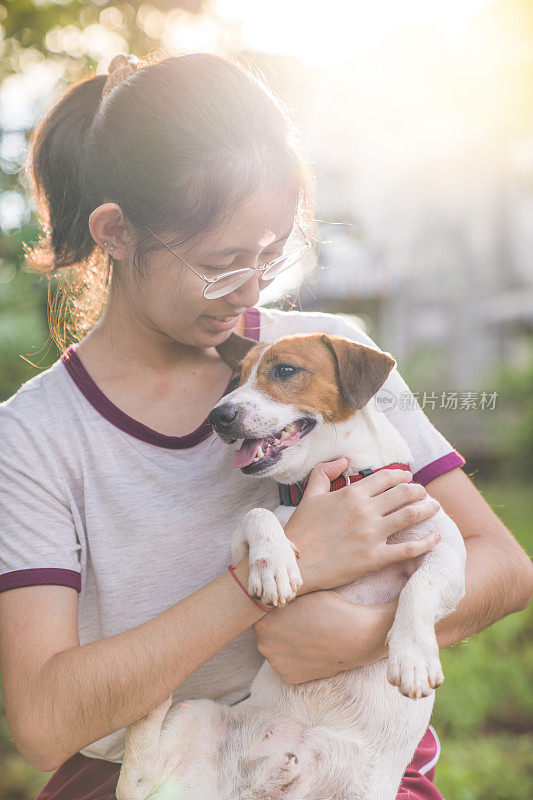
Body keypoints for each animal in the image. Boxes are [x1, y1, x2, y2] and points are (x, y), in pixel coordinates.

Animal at [114, 332, 464, 800]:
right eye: (236, 378)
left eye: (284, 370)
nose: (218, 416)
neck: (338, 482)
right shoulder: (246, 543)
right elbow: (256, 516)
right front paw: (274, 565)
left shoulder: (446, 551)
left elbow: (418, 588)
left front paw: (412, 656)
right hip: (195, 717)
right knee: (137, 777)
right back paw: (152, 707)